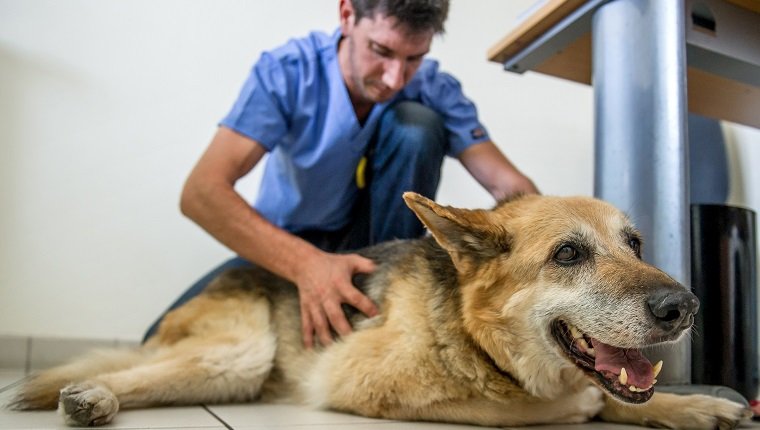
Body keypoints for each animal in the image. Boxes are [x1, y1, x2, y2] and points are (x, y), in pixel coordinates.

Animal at [5, 193, 752, 428]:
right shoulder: (366, 384)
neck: (478, 340)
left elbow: (624, 398)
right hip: (239, 354)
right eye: (568, 254)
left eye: (635, 244)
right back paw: (91, 395)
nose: (685, 305)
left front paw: (699, 405)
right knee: (129, 374)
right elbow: (560, 406)